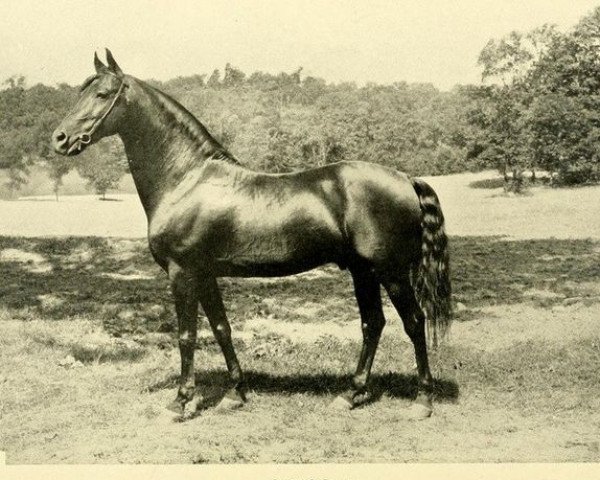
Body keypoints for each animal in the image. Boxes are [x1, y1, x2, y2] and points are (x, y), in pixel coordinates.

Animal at [54, 49, 452, 420]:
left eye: (103, 94)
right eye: (81, 91)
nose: (59, 139)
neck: (186, 179)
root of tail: (406, 179)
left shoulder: (182, 272)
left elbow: (186, 335)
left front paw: (181, 402)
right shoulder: (205, 274)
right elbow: (221, 328)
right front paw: (235, 393)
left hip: (391, 272)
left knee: (414, 322)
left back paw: (423, 400)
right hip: (363, 272)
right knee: (373, 324)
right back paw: (351, 394)